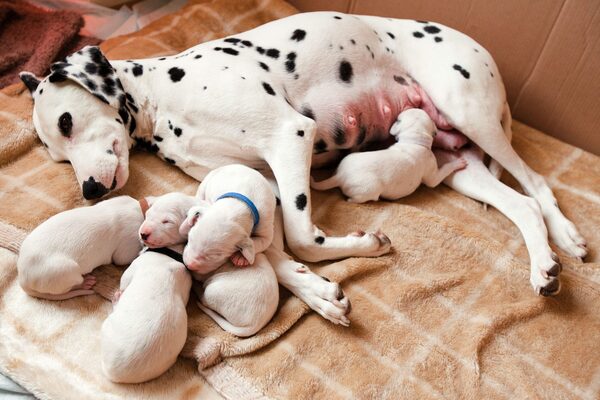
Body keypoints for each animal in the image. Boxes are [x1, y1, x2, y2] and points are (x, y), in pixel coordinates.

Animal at [17, 197, 146, 300]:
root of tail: (23, 279)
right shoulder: (128, 242)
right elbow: (122, 259)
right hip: (66, 272)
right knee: (70, 286)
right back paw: (84, 283)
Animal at [312, 108, 472, 203]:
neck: (414, 140)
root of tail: (340, 176)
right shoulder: (432, 173)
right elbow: (441, 173)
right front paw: (458, 163)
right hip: (369, 190)